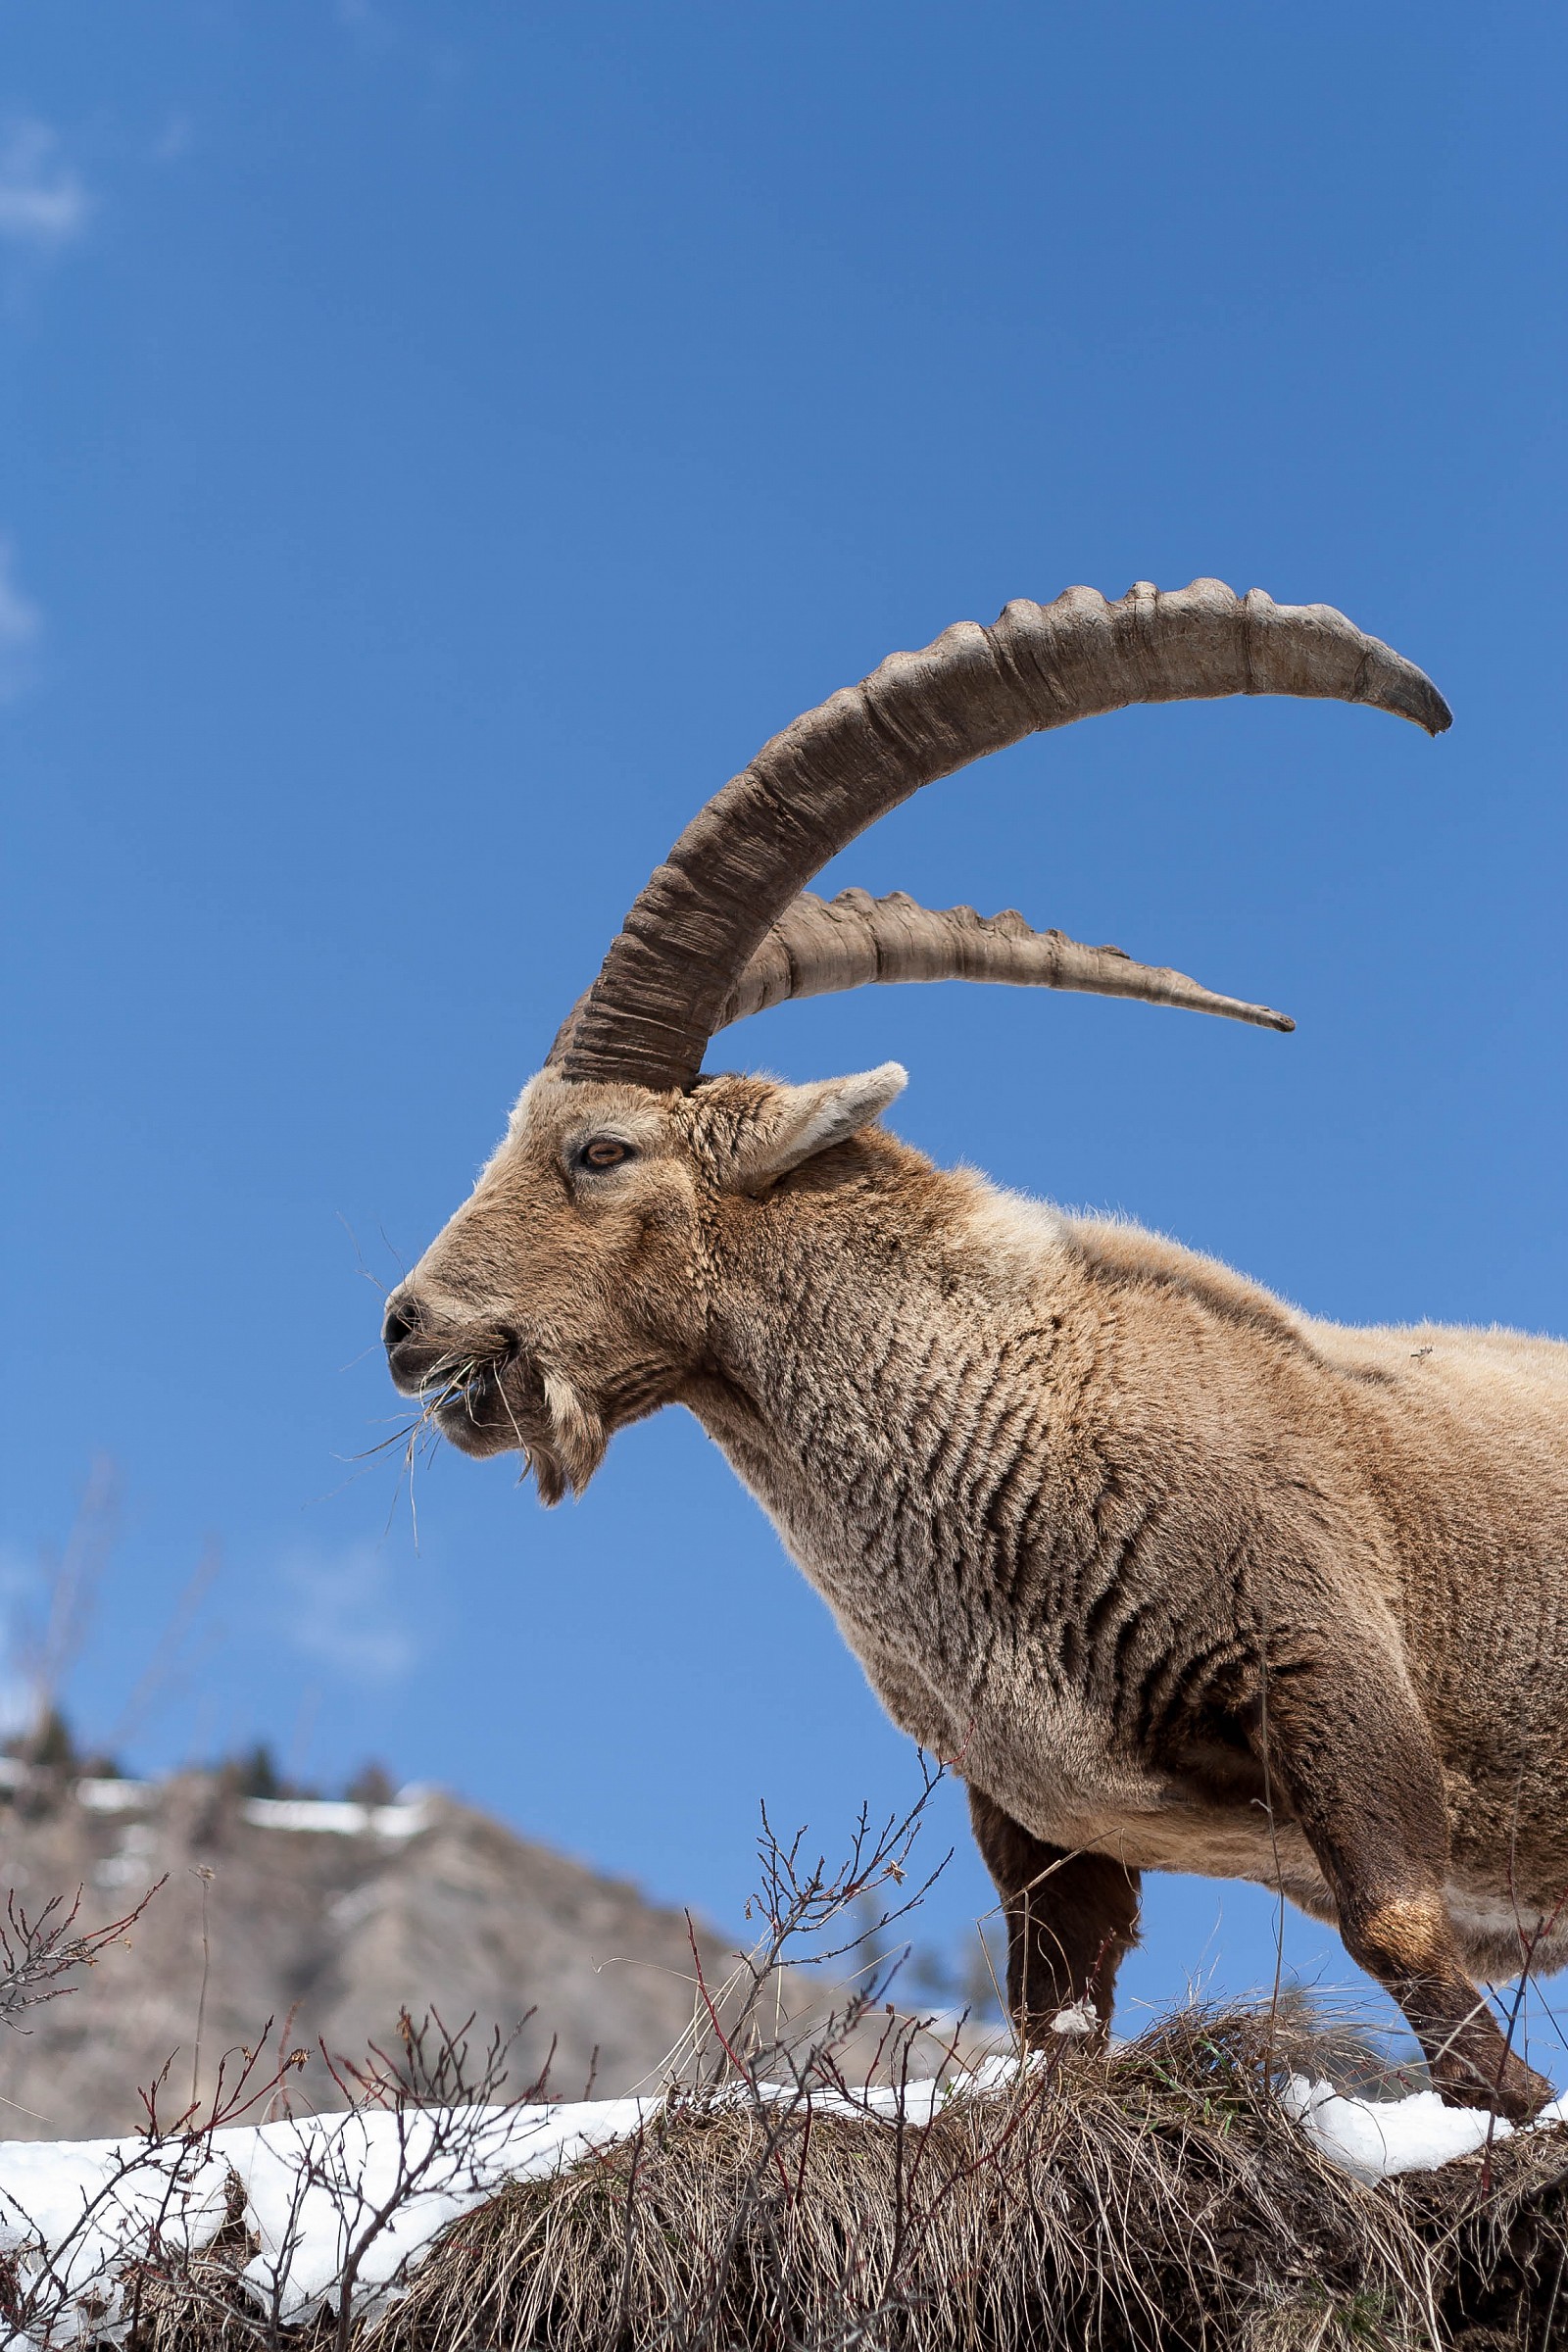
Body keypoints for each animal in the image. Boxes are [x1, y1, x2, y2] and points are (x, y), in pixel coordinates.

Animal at [383, 578, 1565, 2118]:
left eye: (601, 1149)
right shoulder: (1037, 1814)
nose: (406, 1326)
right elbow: (1056, 2014)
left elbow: (1405, 1926)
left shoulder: (1325, 1661)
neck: (1014, 1400)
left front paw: (1510, 2106)